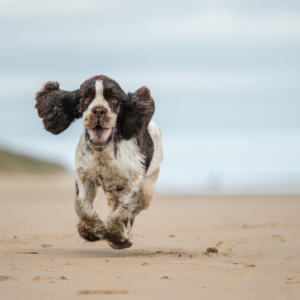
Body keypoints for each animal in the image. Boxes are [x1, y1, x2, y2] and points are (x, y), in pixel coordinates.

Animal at [34, 75, 164, 248]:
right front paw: (91, 230)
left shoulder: (135, 183)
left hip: (148, 180)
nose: (99, 110)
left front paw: (117, 236)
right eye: (85, 98)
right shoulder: (84, 177)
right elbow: (81, 206)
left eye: (114, 99)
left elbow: (126, 208)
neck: (103, 153)